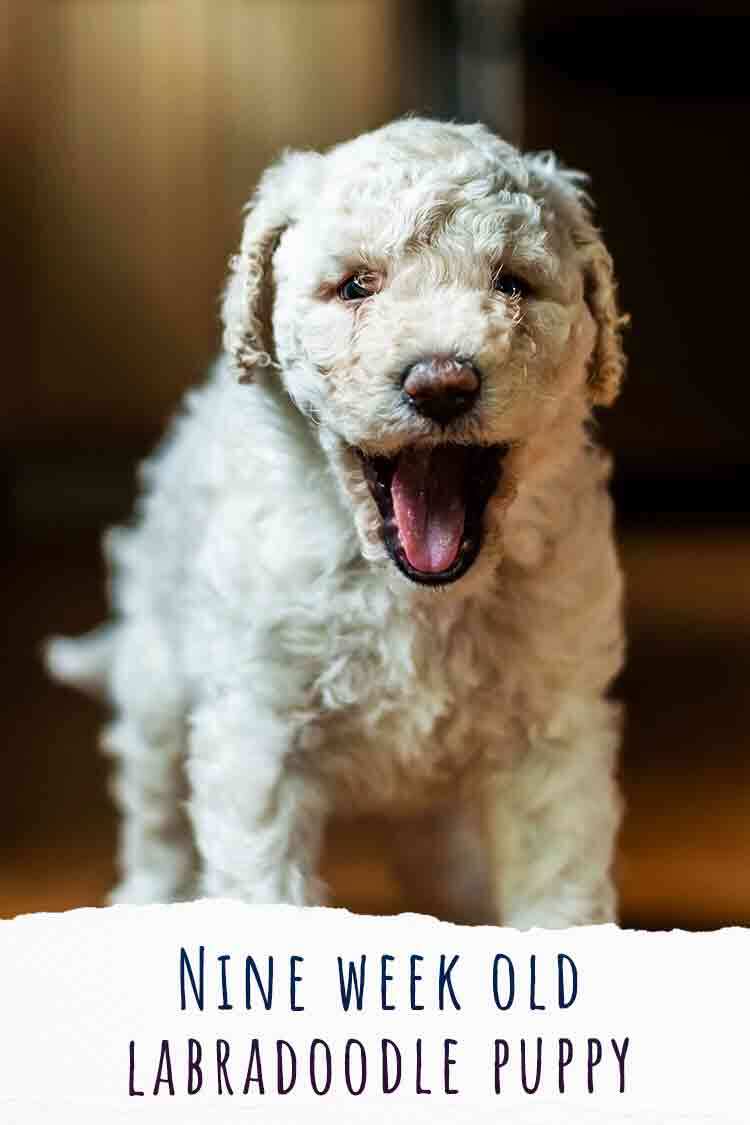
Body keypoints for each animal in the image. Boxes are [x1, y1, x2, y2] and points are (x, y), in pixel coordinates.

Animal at [46, 118, 629, 927]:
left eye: (511, 283)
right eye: (356, 285)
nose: (441, 384)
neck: (414, 596)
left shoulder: (553, 729)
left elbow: (560, 884)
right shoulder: (257, 725)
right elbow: (261, 880)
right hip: (157, 681)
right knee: (156, 821)